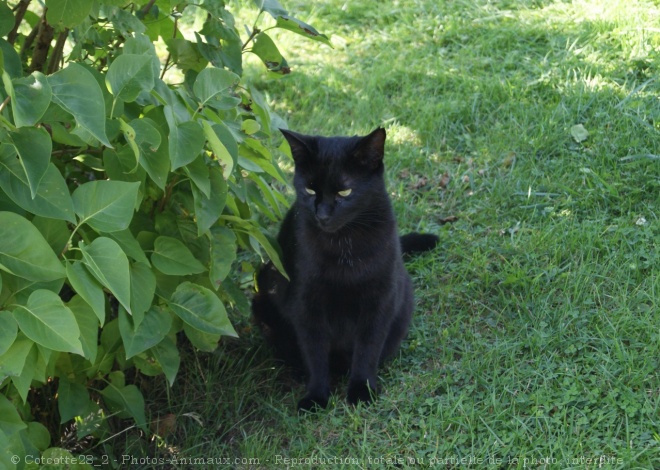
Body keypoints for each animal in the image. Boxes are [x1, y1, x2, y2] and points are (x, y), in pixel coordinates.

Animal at [253, 129, 438, 412]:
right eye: (309, 189)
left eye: (345, 191)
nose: (322, 215)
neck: (344, 246)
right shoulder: (306, 304)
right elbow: (315, 352)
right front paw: (316, 396)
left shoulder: (380, 300)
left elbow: (368, 347)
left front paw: (362, 390)